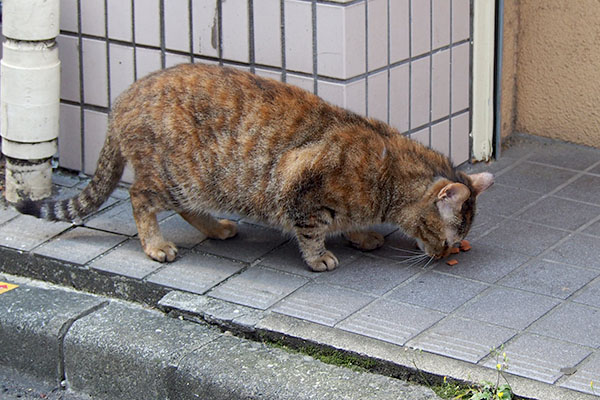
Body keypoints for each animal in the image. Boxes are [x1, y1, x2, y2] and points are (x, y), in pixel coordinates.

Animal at [15, 63, 492, 272]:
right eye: (447, 238)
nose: (444, 255)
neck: (388, 176)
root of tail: (122, 98)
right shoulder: (303, 190)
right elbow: (313, 232)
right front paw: (322, 255)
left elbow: (349, 222)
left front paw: (361, 235)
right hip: (175, 177)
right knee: (139, 198)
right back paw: (155, 245)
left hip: (198, 183)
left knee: (186, 207)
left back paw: (216, 228)